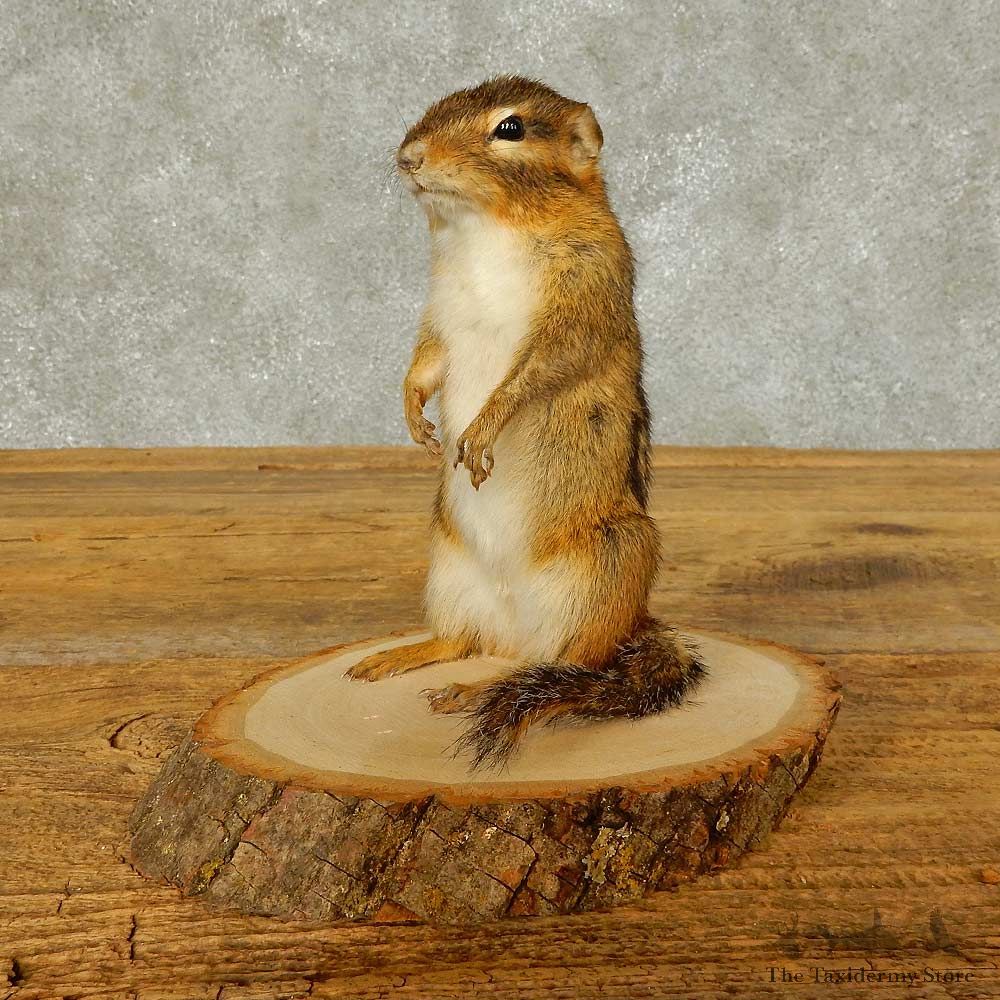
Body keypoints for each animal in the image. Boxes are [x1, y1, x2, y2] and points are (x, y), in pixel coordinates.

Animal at [347, 75, 706, 769]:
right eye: (433, 105)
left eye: (509, 129)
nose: (408, 158)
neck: (484, 229)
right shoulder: (440, 310)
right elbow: (426, 360)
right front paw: (414, 415)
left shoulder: (580, 301)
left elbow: (531, 376)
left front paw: (482, 432)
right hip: (448, 570)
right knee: (466, 643)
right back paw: (401, 658)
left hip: (602, 573)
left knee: (561, 666)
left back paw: (470, 690)